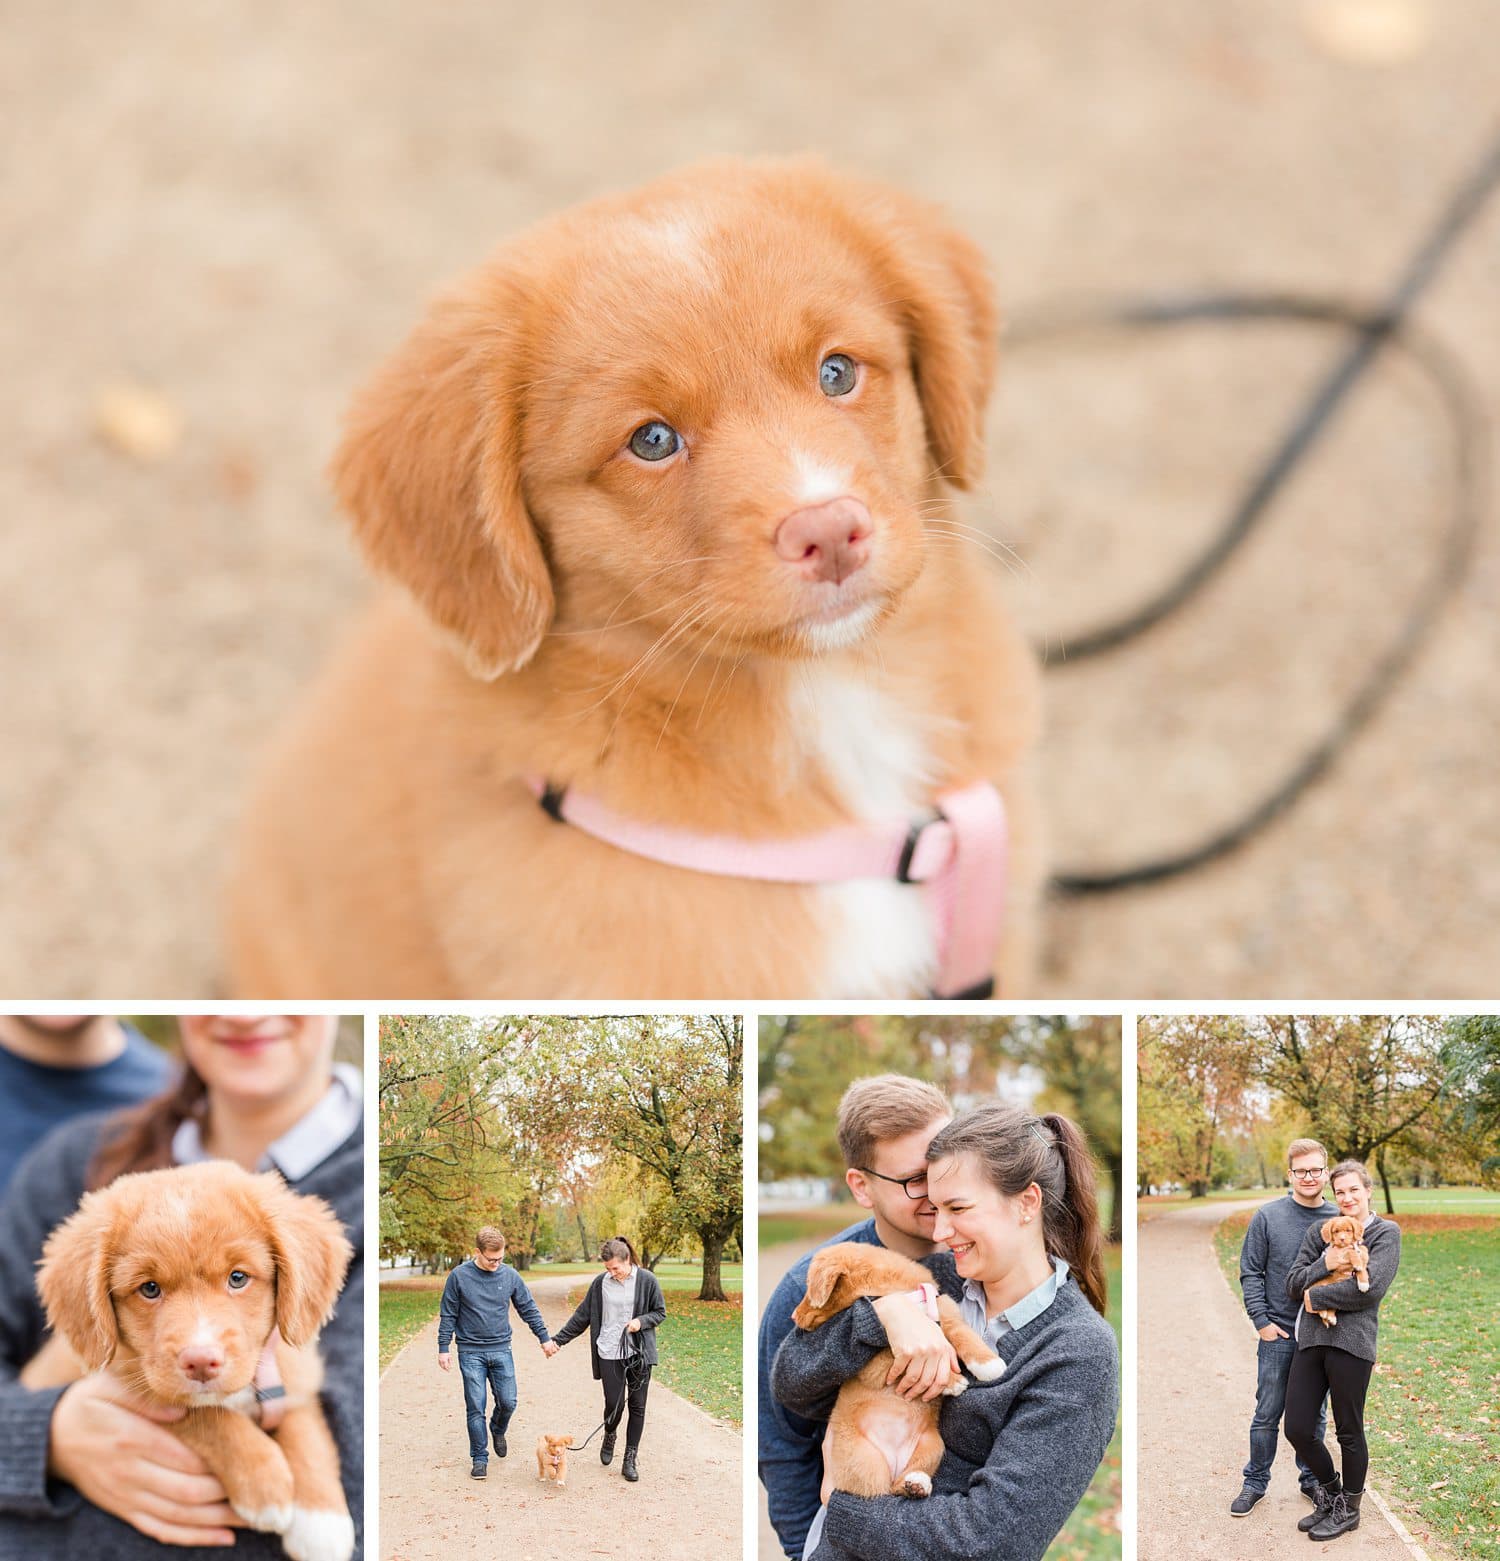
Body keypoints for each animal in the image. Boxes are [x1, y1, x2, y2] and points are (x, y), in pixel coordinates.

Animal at [789, 1242, 998, 1498]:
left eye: (809, 1290)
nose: (793, 1316)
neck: (901, 1294)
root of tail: (895, 1460)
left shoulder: (946, 1310)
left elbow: (963, 1333)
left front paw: (990, 1365)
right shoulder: (874, 1364)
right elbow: (896, 1358)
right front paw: (953, 1381)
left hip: (933, 1446)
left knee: (901, 1484)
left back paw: (916, 1484)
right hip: (868, 1462)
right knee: (880, 1491)